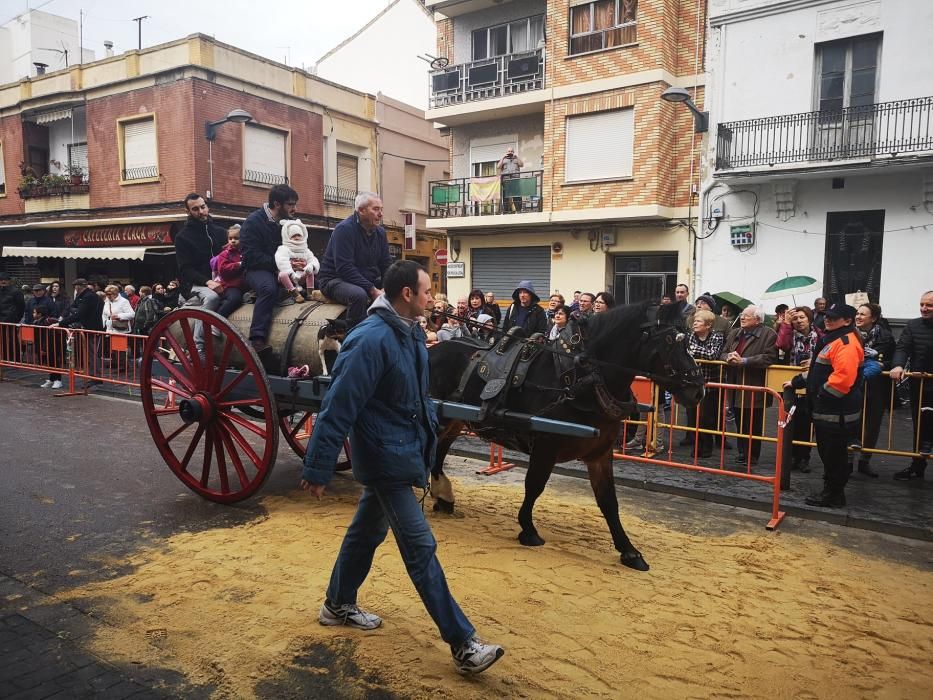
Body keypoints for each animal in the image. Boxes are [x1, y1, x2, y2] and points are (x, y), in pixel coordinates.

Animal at [426, 300, 704, 568]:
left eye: (687, 338)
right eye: (672, 340)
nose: (698, 390)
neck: (581, 380)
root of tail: (432, 350)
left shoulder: (600, 453)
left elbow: (608, 500)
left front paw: (629, 550)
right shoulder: (545, 445)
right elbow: (534, 485)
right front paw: (528, 529)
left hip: (453, 420)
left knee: (439, 451)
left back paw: (443, 495)